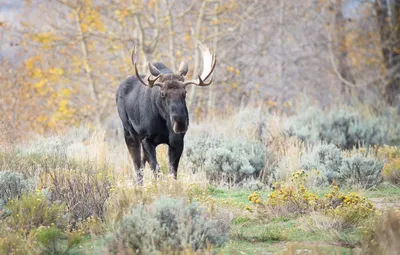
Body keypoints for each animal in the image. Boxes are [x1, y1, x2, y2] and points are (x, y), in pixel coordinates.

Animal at [115, 43, 216, 183]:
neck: (163, 123)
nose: (180, 123)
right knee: (137, 166)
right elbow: (155, 168)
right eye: (163, 94)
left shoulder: (177, 140)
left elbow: (172, 170)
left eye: (185, 93)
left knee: (142, 163)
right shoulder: (146, 138)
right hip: (130, 133)